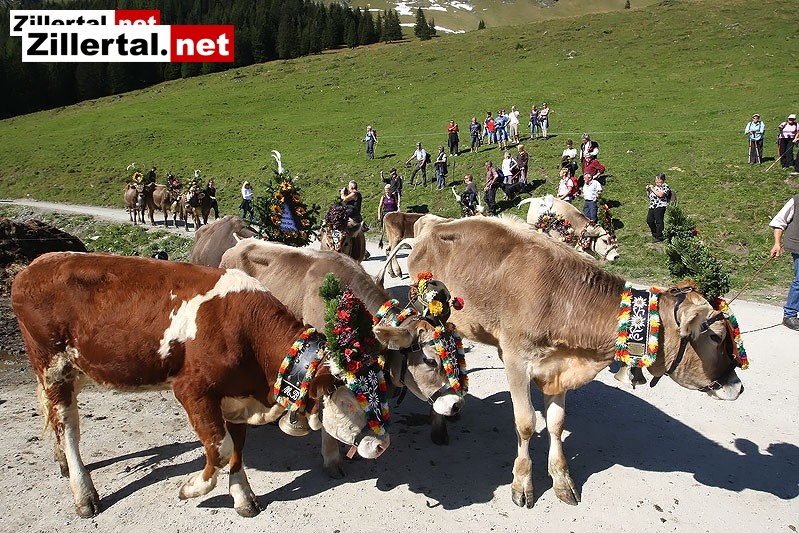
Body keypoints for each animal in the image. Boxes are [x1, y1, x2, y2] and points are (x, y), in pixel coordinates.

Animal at [11, 252, 391, 518]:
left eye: (378, 388)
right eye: (346, 401)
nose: (382, 445)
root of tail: (35, 265)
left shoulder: (236, 395)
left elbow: (237, 449)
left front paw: (243, 498)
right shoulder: (193, 390)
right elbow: (220, 449)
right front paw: (191, 488)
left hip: (66, 369)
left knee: (54, 417)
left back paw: (61, 461)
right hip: (53, 364)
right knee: (68, 426)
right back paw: (84, 493)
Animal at [378, 215, 744, 508]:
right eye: (714, 336)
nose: (737, 386)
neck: (562, 299)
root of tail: (430, 226)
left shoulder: (558, 368)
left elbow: (556, 423)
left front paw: (561, 480)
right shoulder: (515, 360)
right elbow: (526, 423)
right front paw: (523, 483)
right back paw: (438, 424)